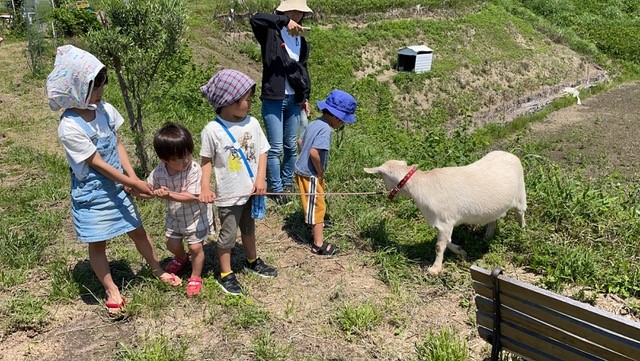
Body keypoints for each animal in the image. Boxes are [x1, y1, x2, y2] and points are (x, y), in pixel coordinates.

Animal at [362, 150, 528, 274]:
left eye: (381, 176)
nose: (386, 191)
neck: (421, 184)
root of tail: (510, 154)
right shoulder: (442, 223)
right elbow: (447, 242)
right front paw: (462, 252)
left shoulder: (445, 220)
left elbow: (439, 246)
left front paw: (435, 269)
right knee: (493, 219)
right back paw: (487, 236)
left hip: (521, 193)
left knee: (520, 213)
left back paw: (522, 231)